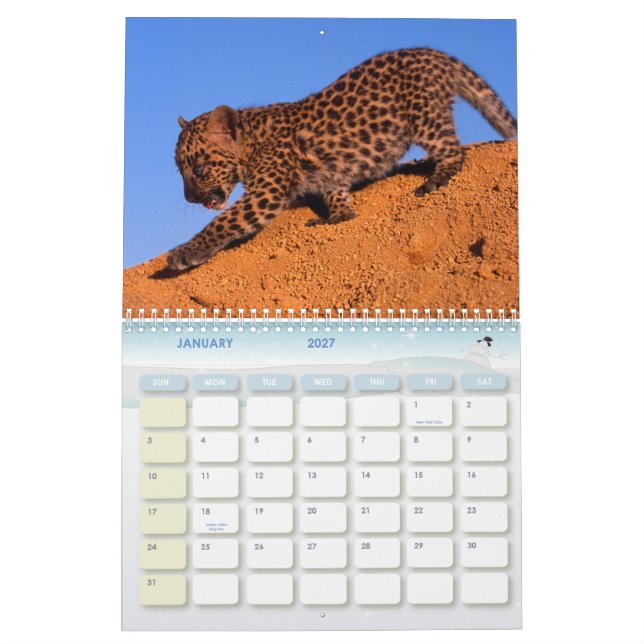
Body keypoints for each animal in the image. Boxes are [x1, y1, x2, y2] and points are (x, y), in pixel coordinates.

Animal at [168, 47, 517, 271]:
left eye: (198, 168)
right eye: (179, 170)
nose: (188, 198)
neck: (250, 142)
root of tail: (434, 53)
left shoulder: (266, 193)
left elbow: (222, 222)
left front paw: (184, 254)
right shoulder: (329, 175)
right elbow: (336, 196)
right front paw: (337, 215)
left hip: (425, 116)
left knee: (452, 149)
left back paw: (438, 177)